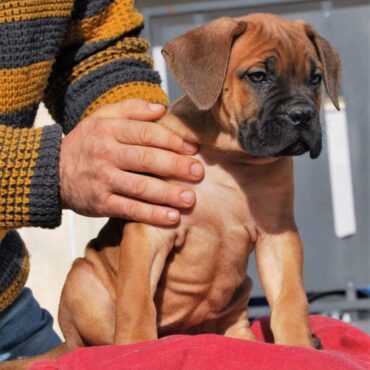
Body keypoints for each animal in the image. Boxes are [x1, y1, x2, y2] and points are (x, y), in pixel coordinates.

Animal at [0, 13, 342, 368]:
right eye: (258, 76)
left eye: (315, 79)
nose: (302, 115)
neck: (231, 159)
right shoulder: (150, 231)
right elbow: (136, 301)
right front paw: (135, 347)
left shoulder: (278, 236)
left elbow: (291, 298)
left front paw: (298, 344)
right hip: (82, 279)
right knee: (82, 342)